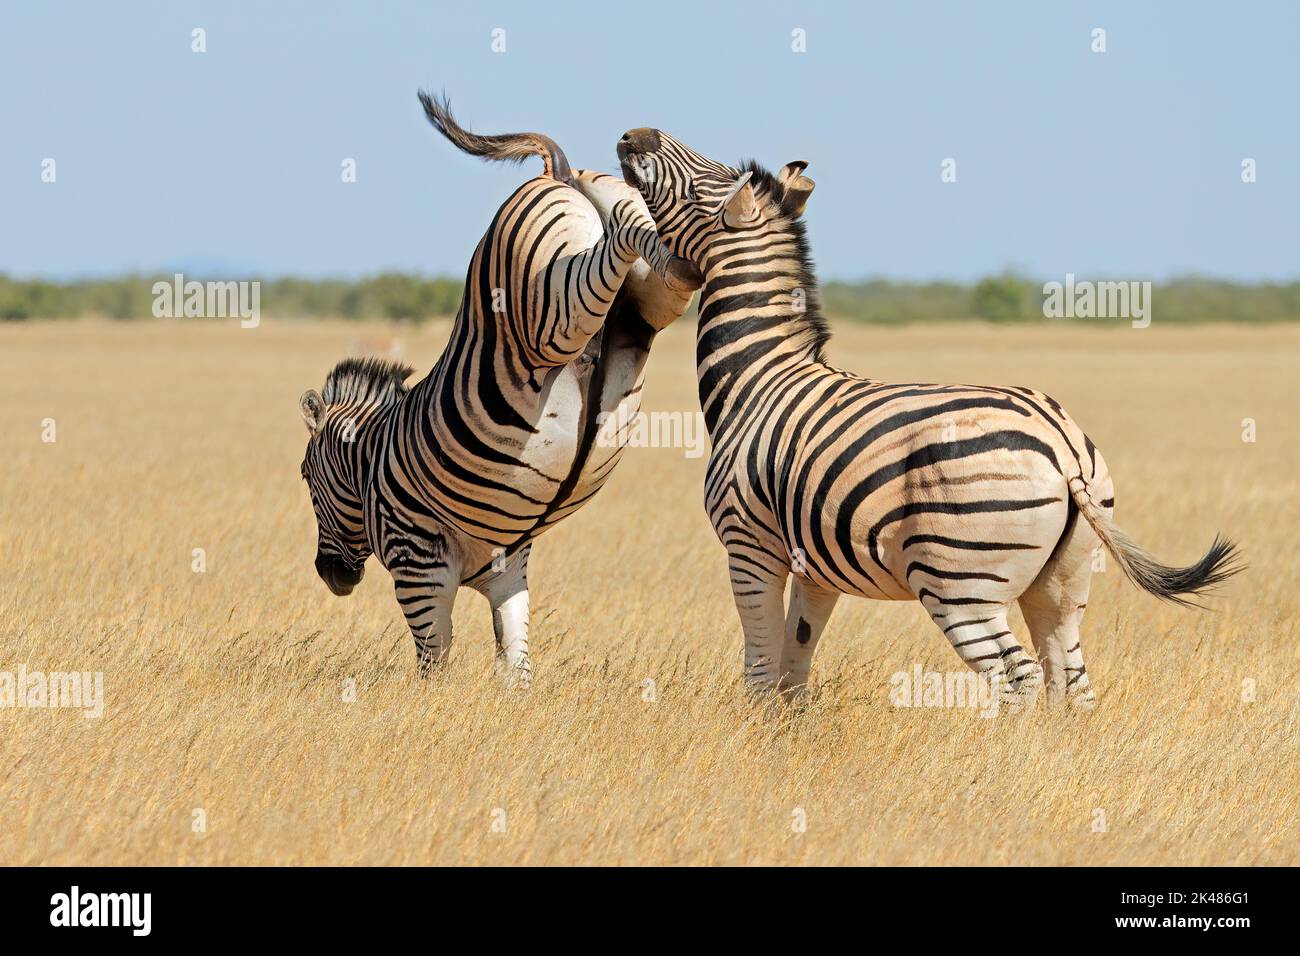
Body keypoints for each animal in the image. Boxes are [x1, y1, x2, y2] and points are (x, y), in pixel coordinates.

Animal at [296, 93, 702, 686]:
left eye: (305, 477)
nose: (330, 576)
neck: (369, 464)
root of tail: (555, 172)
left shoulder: (418, 566)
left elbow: (433, 664)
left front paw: (433, 705)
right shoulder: (509, 568)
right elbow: (515, 661)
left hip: (545, 315)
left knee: (611, 254)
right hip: (637, 276)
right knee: (647, 246)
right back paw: (687, 258)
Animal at [613, 127, 1242, 712]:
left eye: (701, 182)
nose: (633, 134)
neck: (760, 377)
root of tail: (1062, 444)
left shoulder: (749, 544)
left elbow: (762, 668)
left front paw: (752, 735)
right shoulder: (814, 569)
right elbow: (796, 665)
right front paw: (785, 739)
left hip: (958, 583)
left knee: (1020, 678)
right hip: (1063, 581)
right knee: (1070, 680)